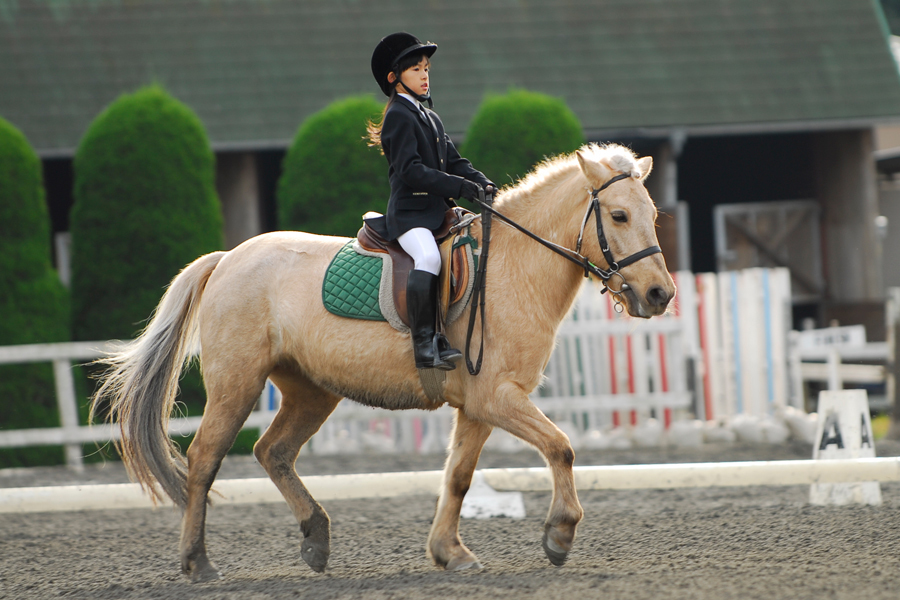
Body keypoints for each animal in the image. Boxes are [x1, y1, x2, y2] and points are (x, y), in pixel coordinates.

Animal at [91, 143, 676, 582]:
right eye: (618, 215)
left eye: (653, 216)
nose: (659, 295)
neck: (511, 267)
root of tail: (229, 258)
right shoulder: (498, 397)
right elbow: (561, 446)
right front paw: (559, 534)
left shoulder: (479, 405)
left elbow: (459, 476)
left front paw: (449, 553)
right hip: (237, 384)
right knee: (206, 460)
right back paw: (198, 562)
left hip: (311, 391)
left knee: (272, 452)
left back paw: (316, 540)